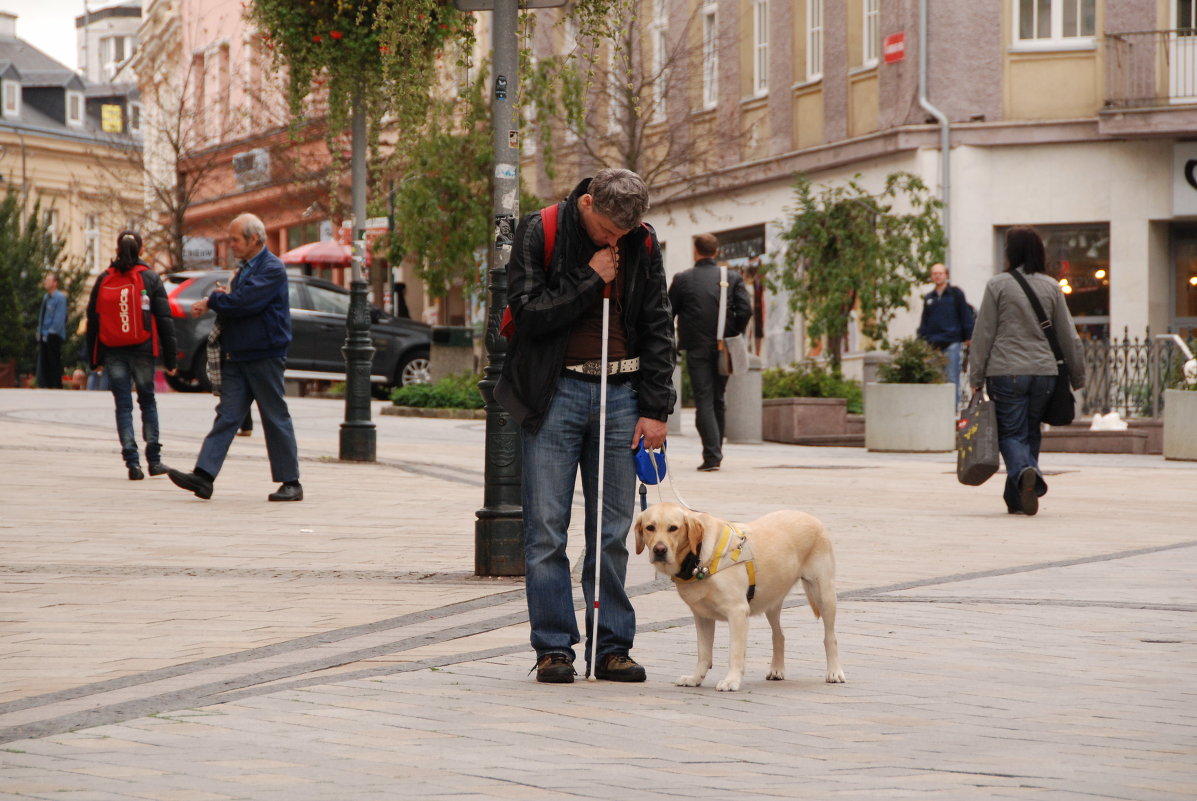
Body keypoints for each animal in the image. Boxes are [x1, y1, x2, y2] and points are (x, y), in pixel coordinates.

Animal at [632, 502, 847, 689]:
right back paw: (777, 669)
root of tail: (811, 517)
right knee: (779, 635)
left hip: (824, 593)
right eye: (650, 527)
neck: (698, 558)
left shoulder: (737, 612)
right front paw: (695, 679)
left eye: (673, 528)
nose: (659, 550)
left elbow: (734, 652)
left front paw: (731, 681)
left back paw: (834, 672)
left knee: (830, 637)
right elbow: (703, 654)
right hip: (771, 600)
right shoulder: (702, 616)